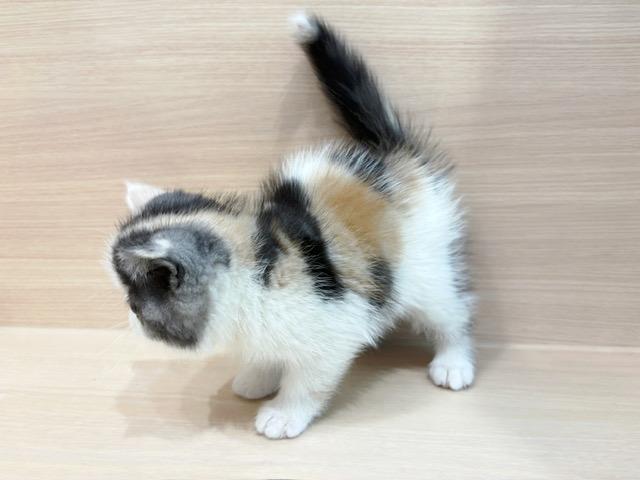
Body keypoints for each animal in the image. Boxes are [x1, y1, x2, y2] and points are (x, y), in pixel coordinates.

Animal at [108, 13, 475, 439]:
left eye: (135, 304)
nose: (128, 316)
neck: (255, 265)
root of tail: (390, 156)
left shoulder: (337, 328)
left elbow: (308, 379)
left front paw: (284, 413)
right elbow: (268, 354)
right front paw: (257, 376)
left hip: (428, 267)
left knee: (452, 311)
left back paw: (454, 362)